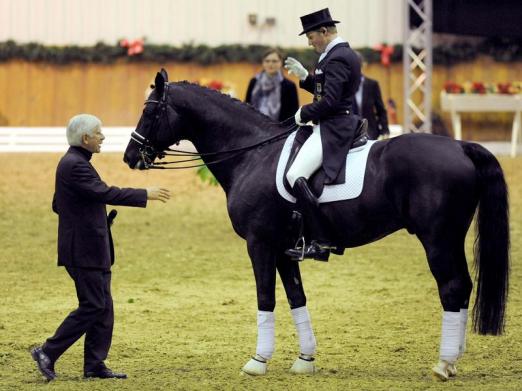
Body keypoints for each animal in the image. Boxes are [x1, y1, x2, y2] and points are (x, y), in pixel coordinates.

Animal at [123, 70, 508, 380]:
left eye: (148, 111)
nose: (129, 157)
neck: (251, 154)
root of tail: (461, 146)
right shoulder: (284, 249)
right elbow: (297, 298)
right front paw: (305, 359)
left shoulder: (259, 244)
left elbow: (265, 297)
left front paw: (257, 361)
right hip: (451, 238)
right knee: (463, 286)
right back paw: (453, 361)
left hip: (437, 239)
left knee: (452, 287)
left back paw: (443, 365)